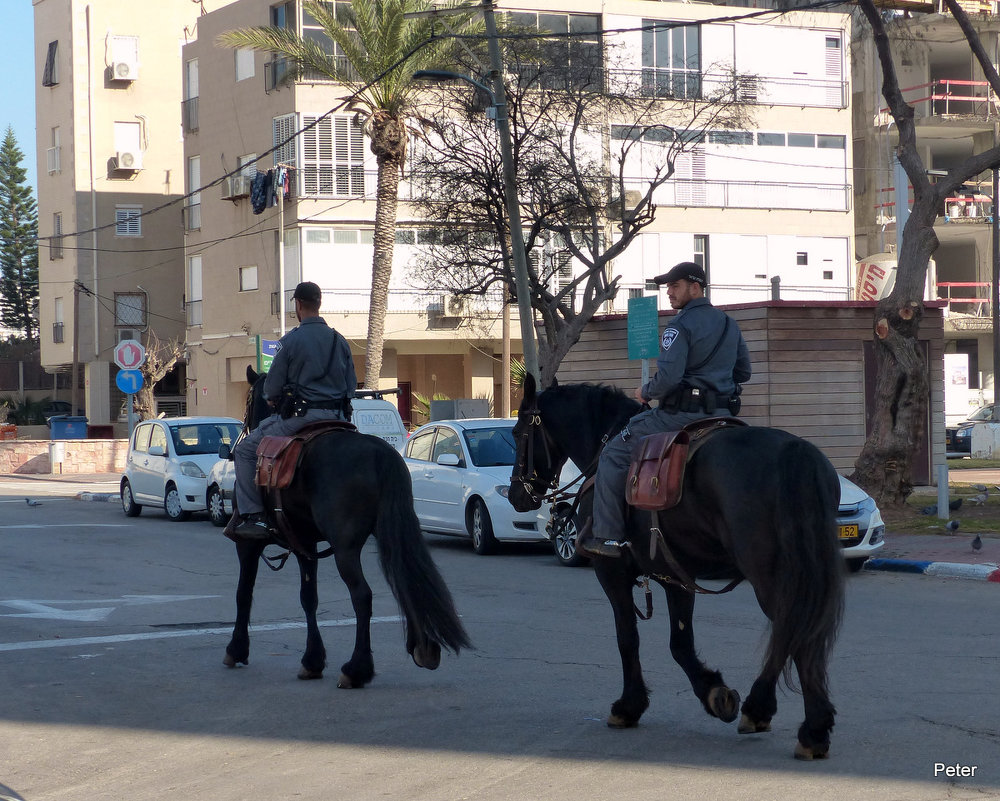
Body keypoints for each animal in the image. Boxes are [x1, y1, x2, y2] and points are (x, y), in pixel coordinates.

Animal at [224, 368, 472, 688]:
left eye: (249, 399)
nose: (233, 447)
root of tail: (381, 453)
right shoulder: (305, 543)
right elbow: (309, 598)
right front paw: (312, 660)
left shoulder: (248, 544)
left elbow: (243, 593)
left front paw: (236, 648)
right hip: (392, 531)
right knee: (406, 579)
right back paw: (424, 649)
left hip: (346, 548)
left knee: (362, 596)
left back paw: (357, 669)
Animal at [508, 378, 844, 760]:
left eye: (518, 432)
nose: (516, 494)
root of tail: (794, 450)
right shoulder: (676, 577)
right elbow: (680, 642)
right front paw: (715, 693)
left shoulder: (612, 573)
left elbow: (628, 637)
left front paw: (629, 705)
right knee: (800, 634)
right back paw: (798, 721)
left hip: (769, 576)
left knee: (792, 633)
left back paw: (785, 719)